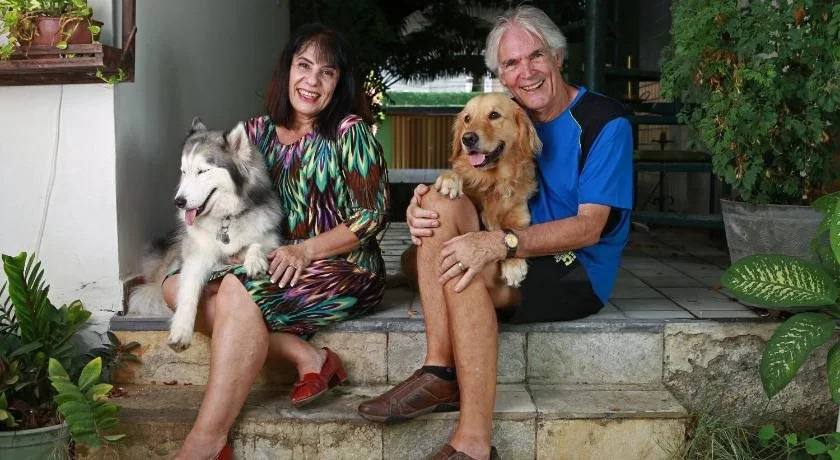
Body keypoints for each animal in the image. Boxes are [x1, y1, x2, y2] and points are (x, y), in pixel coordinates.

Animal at [128, 118, 283, 352]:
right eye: (184, 171)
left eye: (202, 171)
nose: (179, 202)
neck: (225, 219)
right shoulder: (196, 256)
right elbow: (188, 292)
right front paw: (181, 331)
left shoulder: (271, 235)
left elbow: (258, 242)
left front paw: (255, 260)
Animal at [433, 92, 542, 287]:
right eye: (467, 118)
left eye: (494, 115)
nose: (467, 138)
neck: (493, 181)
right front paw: (450, 179)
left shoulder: (520, 217)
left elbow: (513, 232)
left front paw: (514, 265)